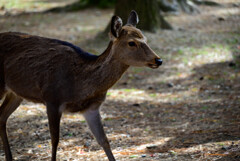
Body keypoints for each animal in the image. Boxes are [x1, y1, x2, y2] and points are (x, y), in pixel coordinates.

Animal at [0, 10, 162, 160]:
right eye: (132, 42)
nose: (158, 60)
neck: (79, 85)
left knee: (2, 116)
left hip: (16, 93)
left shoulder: (91, 108)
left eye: (146, 39)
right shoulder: (52, 99)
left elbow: (104, 141)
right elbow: (55, 140)